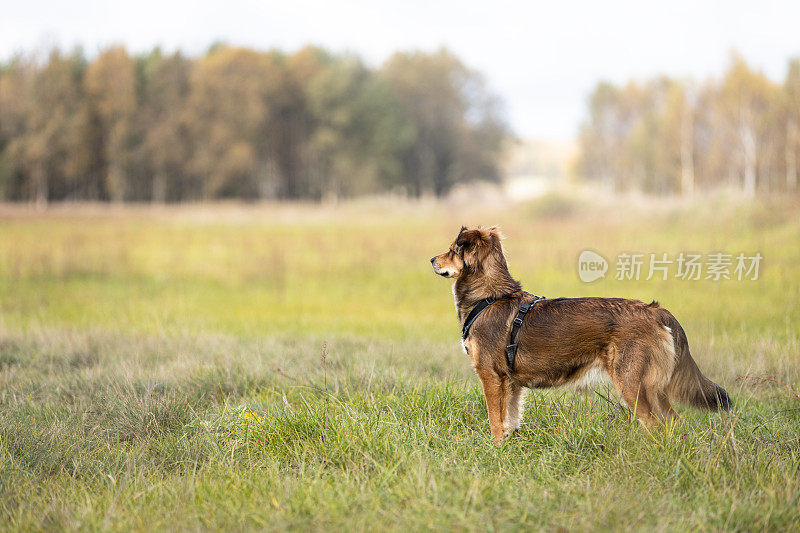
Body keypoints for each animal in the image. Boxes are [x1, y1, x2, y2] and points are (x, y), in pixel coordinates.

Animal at [432, 225, 732, 444]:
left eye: (452, 250)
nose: (432, 259)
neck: (490, 296)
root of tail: (655, 311)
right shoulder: (512, 383)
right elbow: (511, 419)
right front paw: (509, 446)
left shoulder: (491, 376)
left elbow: (496, 420)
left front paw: (495, 449)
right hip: (654, 388)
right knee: (674, 422)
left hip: (632, 384)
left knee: (655, 424)